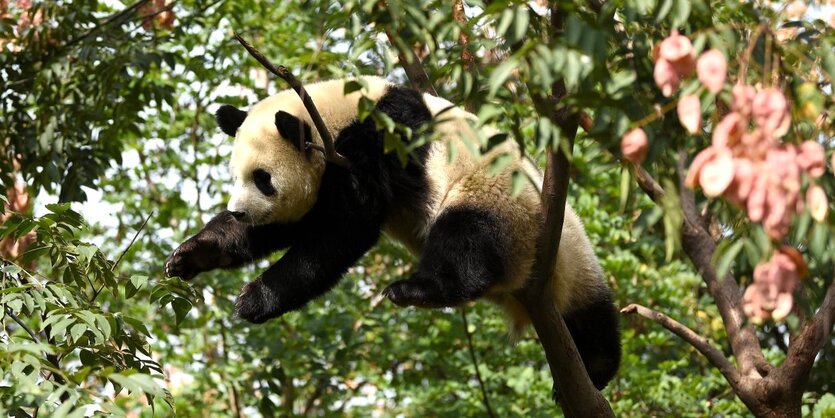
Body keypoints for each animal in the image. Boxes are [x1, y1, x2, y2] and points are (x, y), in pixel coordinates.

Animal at [163, 76, 620, 390]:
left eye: (262, 179)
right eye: (236, 176)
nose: (239, 212)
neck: (332, 113)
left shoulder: (377, 141)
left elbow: (343, 228)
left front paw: (254, 299)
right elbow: (294, 223)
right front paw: (193, 254)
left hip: (501, 202)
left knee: (466, 242)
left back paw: (413, 290)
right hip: (571, 267)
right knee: (594, 321)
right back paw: (597, 368)